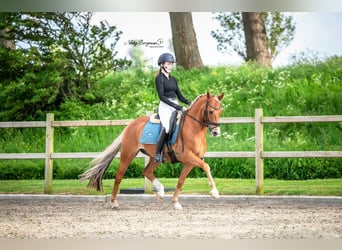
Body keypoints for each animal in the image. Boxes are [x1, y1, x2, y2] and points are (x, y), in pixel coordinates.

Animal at [80, 92, 224, 209]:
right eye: (211, 111)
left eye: (220, 111)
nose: (216, 132)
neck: (193, 128)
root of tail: (131, 124)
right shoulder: (187, 156)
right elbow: (206, 166)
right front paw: (214, 192)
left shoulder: (190, 162)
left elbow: (181, 181)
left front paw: (175, 202)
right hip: (128, 154)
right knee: (119, 176)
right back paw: (114, 203)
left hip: (156, 158)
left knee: (146, 171)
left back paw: (160, 192)